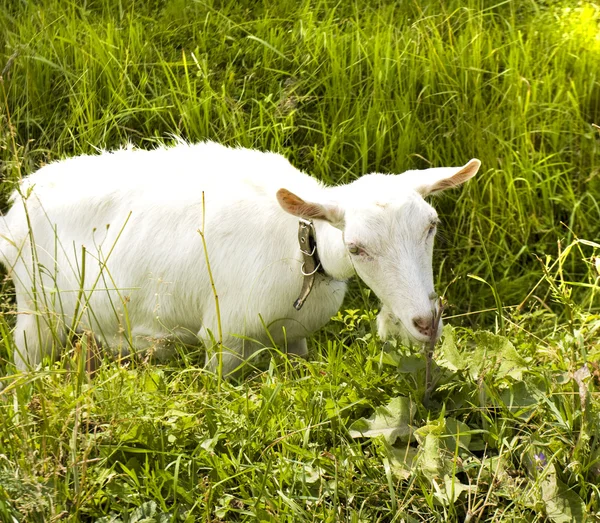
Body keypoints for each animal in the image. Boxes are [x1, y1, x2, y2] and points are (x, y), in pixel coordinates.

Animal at [0, 141, 480, 374]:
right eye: (357, 247)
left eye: (431, 226)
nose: (426, 322)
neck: (300, 246)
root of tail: (19, 200)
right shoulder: (224, 337)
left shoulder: (294, 338)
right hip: (35, 309)